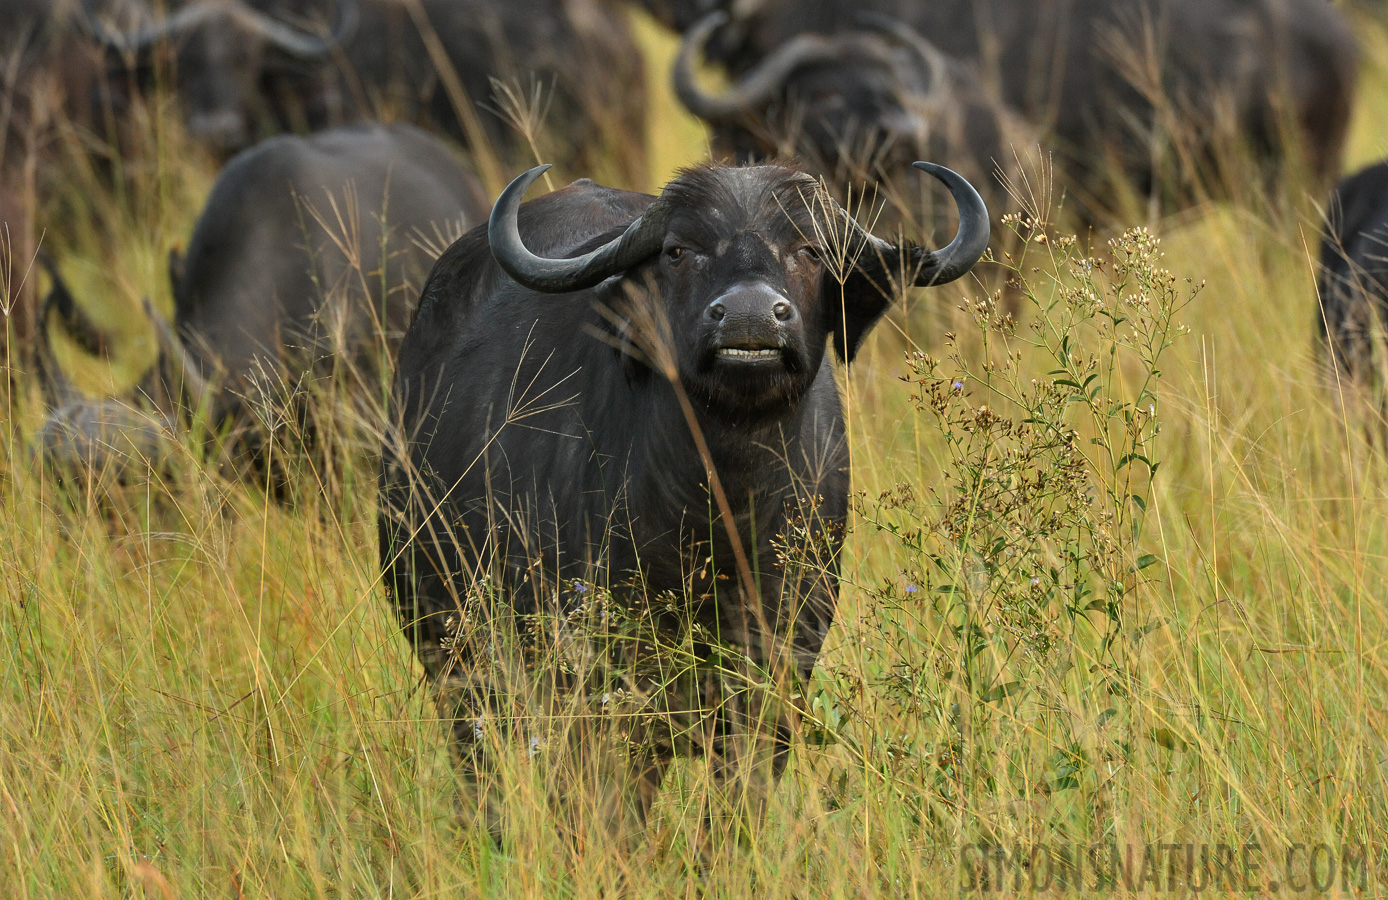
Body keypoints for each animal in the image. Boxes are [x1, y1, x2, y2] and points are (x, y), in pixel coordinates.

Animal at [380, 158, 988, 833]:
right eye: (678, 250)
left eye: (810, 249)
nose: (750, 317)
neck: (717, 520)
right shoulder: (592, 681)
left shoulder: (779, 670)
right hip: (452, 654)